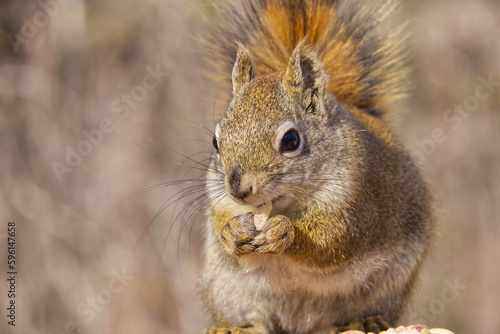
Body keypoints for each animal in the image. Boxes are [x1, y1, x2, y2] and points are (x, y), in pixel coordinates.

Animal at [197, 0, 432, 334]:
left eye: (291, 140)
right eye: (216, 141)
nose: (238, 190)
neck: (284, 206)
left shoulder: (356, 203)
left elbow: (329, 242)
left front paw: (284, 232)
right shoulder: (219, 201)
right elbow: (225, 234)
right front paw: (231, 231)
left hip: (387, 288)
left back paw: (364, 321)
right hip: (228, 290)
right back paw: (235, 326)